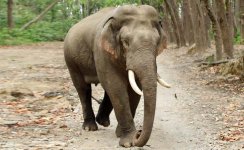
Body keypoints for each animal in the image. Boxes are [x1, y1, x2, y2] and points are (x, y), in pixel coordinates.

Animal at [63, 4, 170, 148]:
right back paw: (90, 127)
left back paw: (103, 121)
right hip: (71, 61)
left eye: (157, 42)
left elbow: (133, 89)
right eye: (125, 42)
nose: (139, 134)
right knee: (83, 88)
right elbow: (116, 86)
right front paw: (128, 142)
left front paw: (121, 135)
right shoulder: (101, 51)